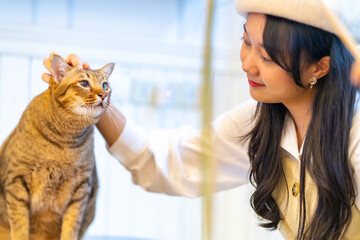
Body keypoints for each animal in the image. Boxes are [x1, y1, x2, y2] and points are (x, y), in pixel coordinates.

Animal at [0, 54, 114, 240]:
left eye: (105, 85)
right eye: (84, 83)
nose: (103, 94)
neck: (64, 141)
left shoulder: (81, 189)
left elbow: (71, 227)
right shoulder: (16, 180)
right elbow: (19, 226)